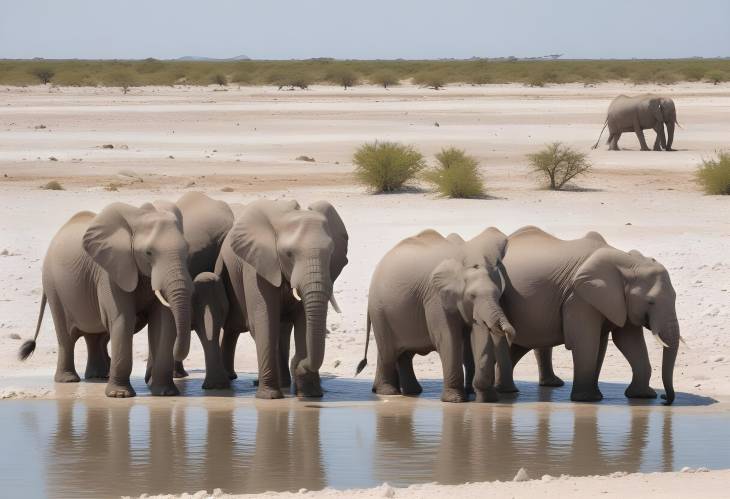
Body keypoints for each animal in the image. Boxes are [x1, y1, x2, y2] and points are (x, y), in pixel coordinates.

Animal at [18, 202, 193, 398]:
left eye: (187, 250)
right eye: (148, 252)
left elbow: (164, 323)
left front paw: (165, 393)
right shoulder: (109, 273)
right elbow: (123, 320)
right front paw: (119, 396)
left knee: (94, 336)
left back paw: (98, 376)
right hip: (53, 286)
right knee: (66, 337)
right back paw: (69, 380)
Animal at [216, 198, 346, 398]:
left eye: (331, 253)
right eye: (289, 254)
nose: (298, 363)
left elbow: (303, 322)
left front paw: (310, 394)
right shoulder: (257, 264)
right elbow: (264, 319)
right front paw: (269, 397)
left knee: (281, 329)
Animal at [356, 229, 516, 404]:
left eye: (498, 294)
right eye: (472, 296)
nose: (510, 336)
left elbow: (478, 335)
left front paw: (487, 400)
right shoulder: (435, 296)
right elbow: (447, 338)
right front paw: (455, 400)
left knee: (402, 353)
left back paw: (411, 391)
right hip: (379, 310)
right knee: (389, 351)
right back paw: (389, 392)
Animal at [494, 227, 676, 406]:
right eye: (651, 301)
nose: (664, 399)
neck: (626, 262)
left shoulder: (621, 302)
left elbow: (628, 342)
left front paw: (642, 396)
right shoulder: (579, 298)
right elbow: (587, 342)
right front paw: (587, 400)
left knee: (519, 346)